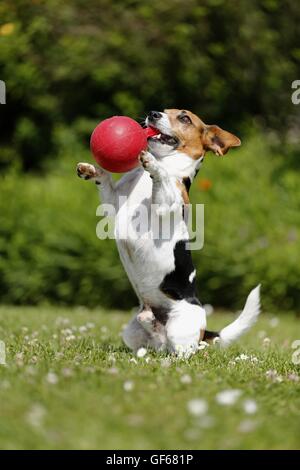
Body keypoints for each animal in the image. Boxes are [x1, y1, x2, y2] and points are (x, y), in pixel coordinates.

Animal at [77, 107, 260, 356]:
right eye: (164, 111)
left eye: (184, 118)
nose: (153, 113)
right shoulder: (113, 204)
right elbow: (105, 182)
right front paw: (92, 170)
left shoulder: (167, 203)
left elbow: (161, 176)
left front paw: (153, 163)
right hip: (133, 331)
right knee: (153, 341)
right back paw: (145, 344)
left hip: (180, 329)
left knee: (186, 351)